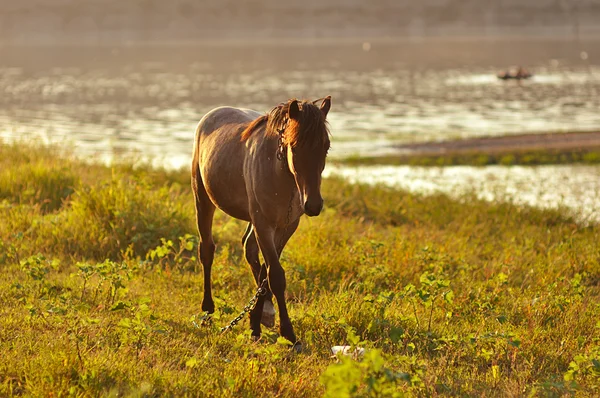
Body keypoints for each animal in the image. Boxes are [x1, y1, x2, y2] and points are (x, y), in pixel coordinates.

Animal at [191, 97, 332, 346]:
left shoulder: (286, 227)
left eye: (326, 147)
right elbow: (275, 275)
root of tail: (211, 115)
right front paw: (289, 333)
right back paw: (207, 311)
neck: (282, 176)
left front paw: (258, 322)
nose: (313, 205)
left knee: (249, 249)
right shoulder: (264, 224)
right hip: (203, 197)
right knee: (207, 250)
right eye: (295, 146)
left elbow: (267, 272)